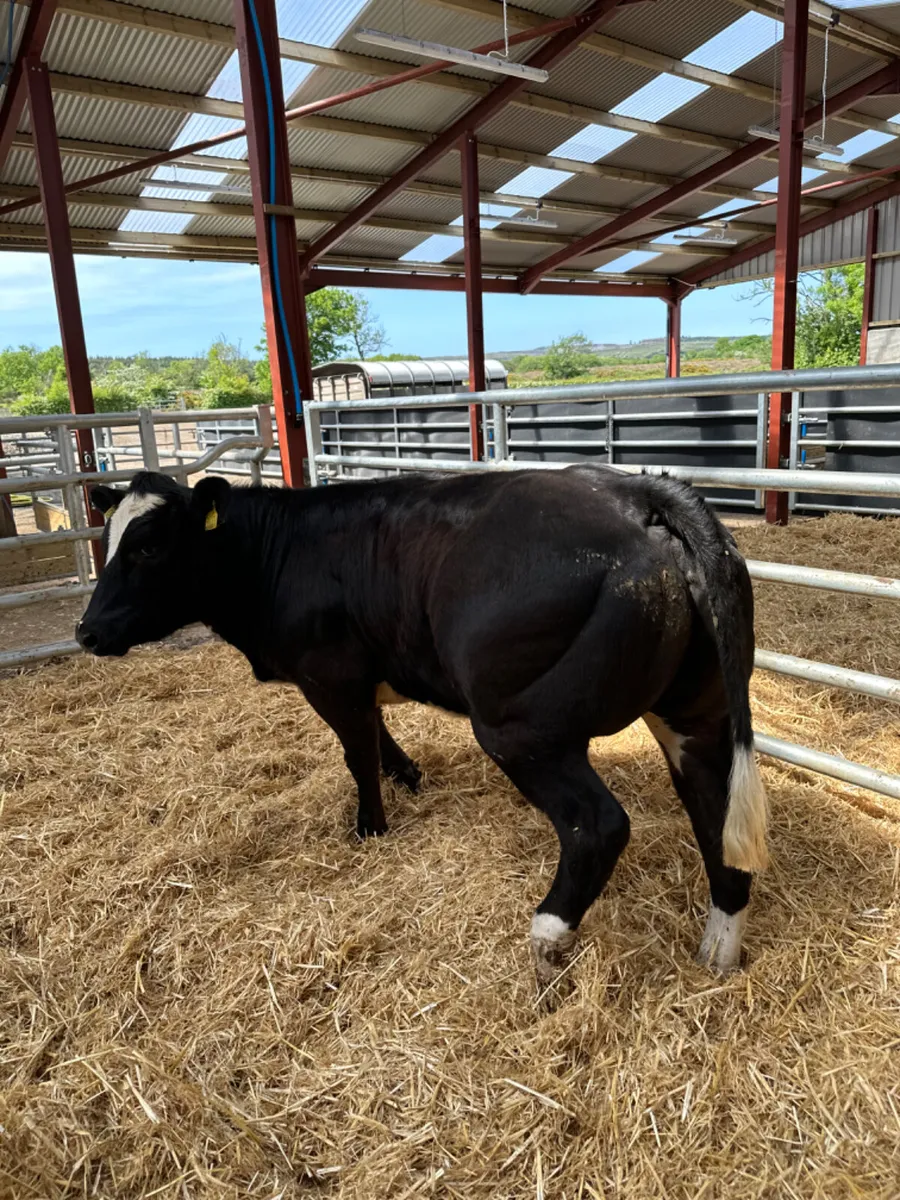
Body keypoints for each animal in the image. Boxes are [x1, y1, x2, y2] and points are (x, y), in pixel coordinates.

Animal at [76, 466, 767, 985]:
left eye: (148, 546)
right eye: (107, 541)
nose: (86, 631)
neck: (282, 553)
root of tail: (632, 494)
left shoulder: (330, 676)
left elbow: (357, 750)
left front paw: (369, 829)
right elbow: (379, 735)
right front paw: (406, 776)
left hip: (521, 727)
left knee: (598, 825)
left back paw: (547, 941)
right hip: (696, 715)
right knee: (716, 813)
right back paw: (718, 948)